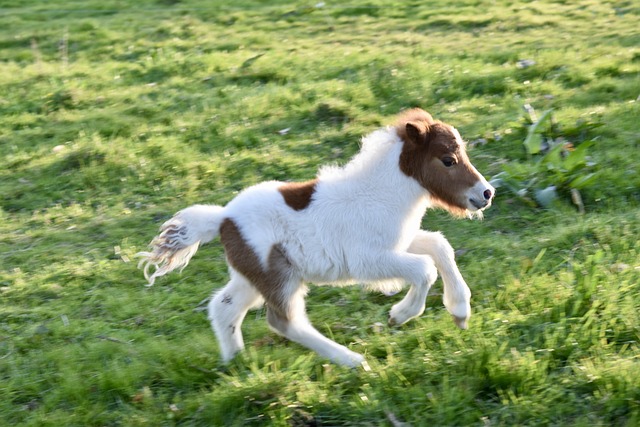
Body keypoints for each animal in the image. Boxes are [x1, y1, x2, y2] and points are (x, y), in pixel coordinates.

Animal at [136, 109, 496, 368]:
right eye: (448, 160)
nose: (486, 193)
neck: (380, 195)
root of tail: (223, 218)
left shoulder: (398, 244)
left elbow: (439, 246)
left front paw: (460, 311)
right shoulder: (369, 260)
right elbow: (424, 268)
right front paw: (400, 314)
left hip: (252, 276)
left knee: (224, 307)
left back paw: (235, 363)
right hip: (279, 277)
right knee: (284, 321)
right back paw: (352, 360)